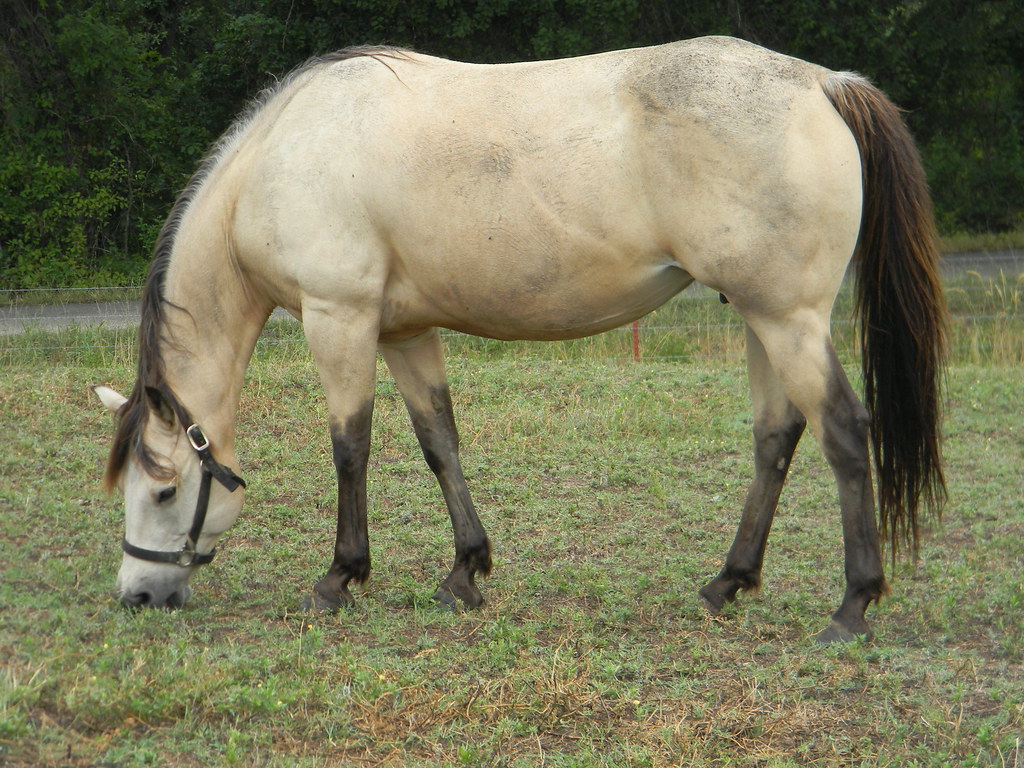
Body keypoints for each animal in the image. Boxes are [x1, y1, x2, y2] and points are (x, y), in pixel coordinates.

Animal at [94, 36, 947, 643]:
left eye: (164, 489)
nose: (137, 596)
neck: (280, 160)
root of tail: (823, 83)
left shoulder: (340, 318)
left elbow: (350, 448)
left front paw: (340, 577)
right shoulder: (404, 331)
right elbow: (439, 441)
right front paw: (465, 572)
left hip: (788, 319)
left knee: (844, 432)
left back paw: (852, 607)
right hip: (762, 319)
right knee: (777, 438)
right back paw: (727, 583)